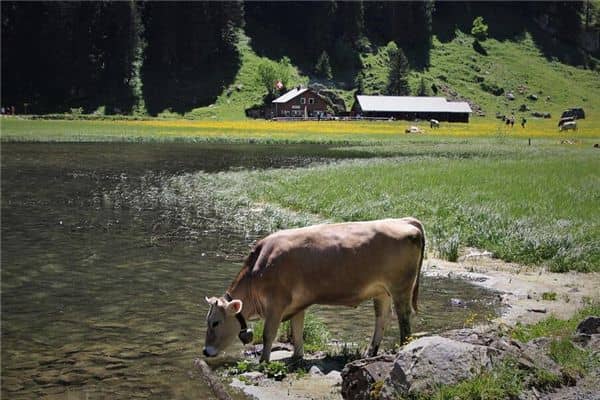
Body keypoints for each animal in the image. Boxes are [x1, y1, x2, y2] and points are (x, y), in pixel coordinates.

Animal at [204, 219, 424, 362]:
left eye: (215, 322)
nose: (205, 352)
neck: (258, 267)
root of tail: (405, 220)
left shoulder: (276, 304)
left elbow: (268, 334)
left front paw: (263, 363)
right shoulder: (297, 304)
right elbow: (297, 330)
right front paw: (297, 356)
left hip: (401, 287)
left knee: (404, 318)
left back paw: (402, 347)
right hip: (381, 291)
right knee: (382, 318)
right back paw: (371, 352)